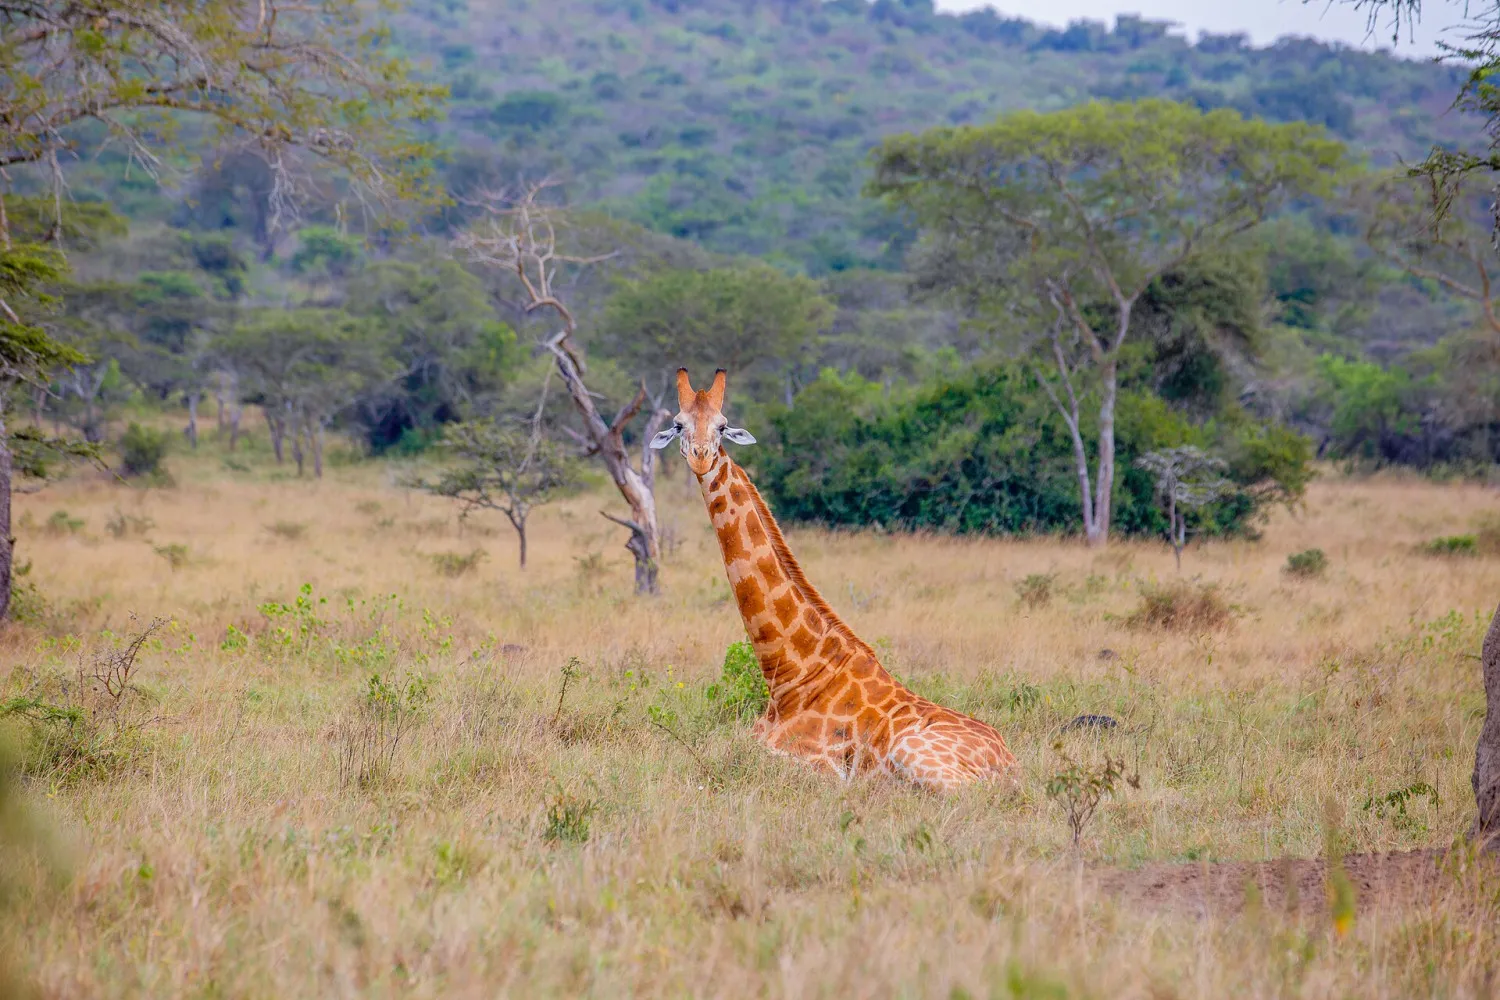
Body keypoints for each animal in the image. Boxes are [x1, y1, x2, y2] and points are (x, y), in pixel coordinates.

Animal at [651, 368, 1018, 792]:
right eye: (679, 424)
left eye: (723, 426)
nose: (701, 457)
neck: (791, 677)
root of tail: (1013, 767)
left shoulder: (821, 765)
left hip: (915, 753)